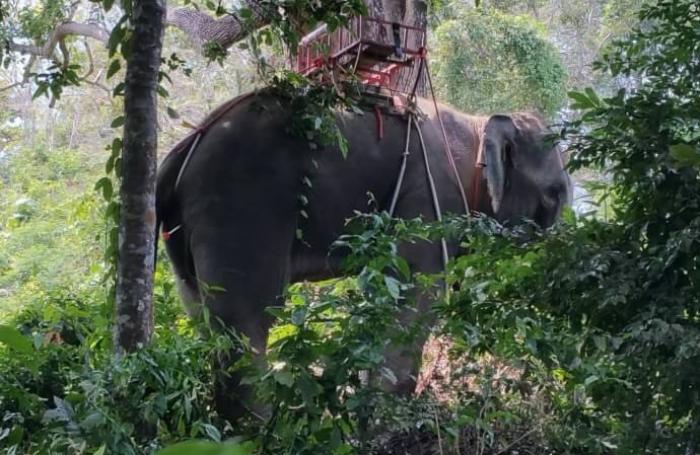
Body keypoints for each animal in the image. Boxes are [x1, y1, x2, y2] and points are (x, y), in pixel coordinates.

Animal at [156, 90, 572, 420]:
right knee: (245, 323)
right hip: (241, 201)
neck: (476, 125)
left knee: (205, 318)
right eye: (554, 195)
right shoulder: (431, 201)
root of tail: (180, 154)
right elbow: (416, 297)